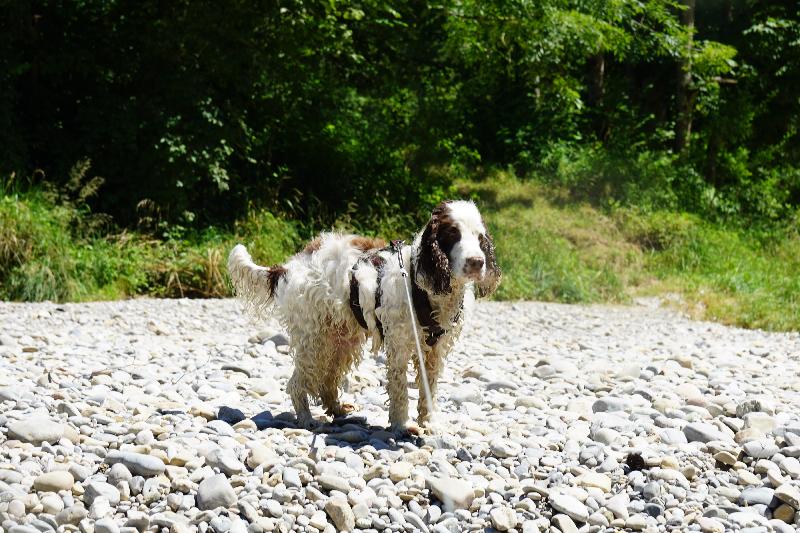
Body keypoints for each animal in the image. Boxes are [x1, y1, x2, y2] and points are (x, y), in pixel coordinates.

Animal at [228, 200, 500, 433]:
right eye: (453, 233)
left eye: (480, 237)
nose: (477, 262)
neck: (424, 285)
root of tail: (289, 266)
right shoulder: (399, 346)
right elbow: (400, 389)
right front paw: (402, 425)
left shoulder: (434, 352)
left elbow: (428, 389)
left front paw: (430, 423)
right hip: (313, 341)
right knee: (297, 383)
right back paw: (306, 419)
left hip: (340, 339)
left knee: (328, 379)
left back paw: (337, 408)